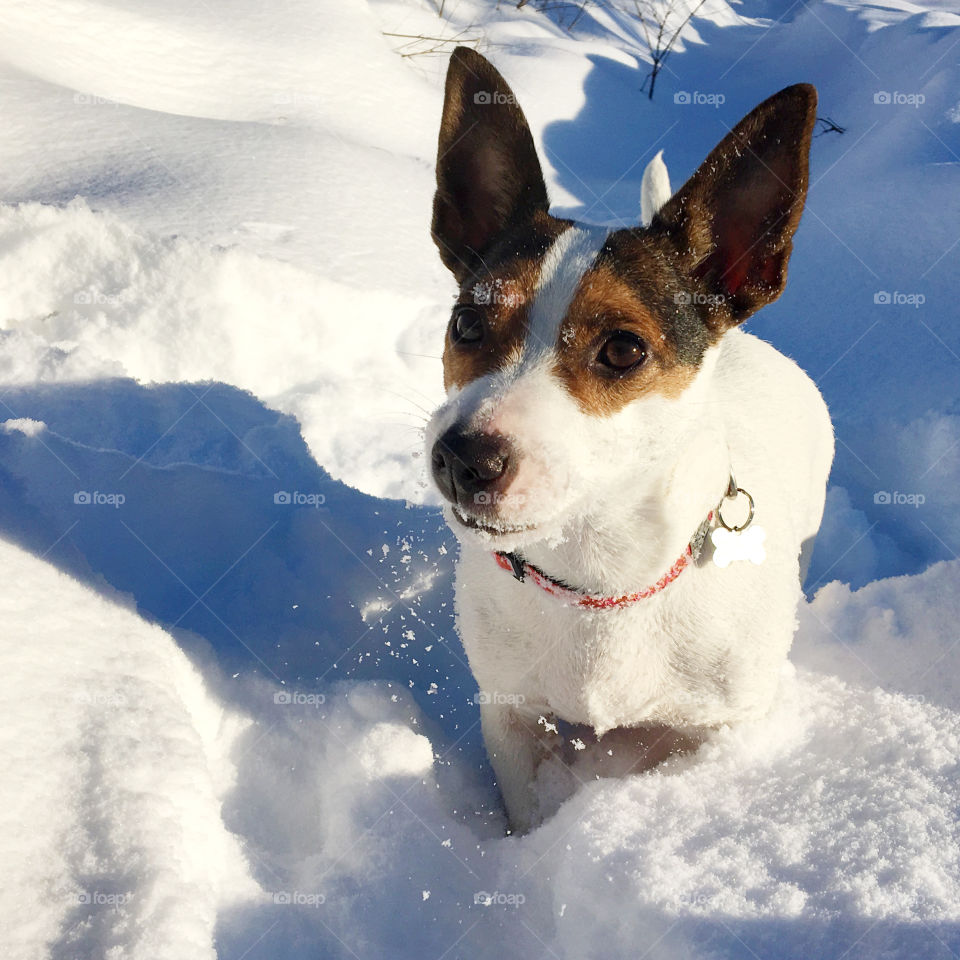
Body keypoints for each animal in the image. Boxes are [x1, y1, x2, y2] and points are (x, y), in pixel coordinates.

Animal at [426, 48, 832, 832]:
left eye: (622, 349)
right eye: (466, 322)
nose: (462, 460)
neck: (600, 581)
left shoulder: (715, 730)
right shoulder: (511, 716)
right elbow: (526, 805)